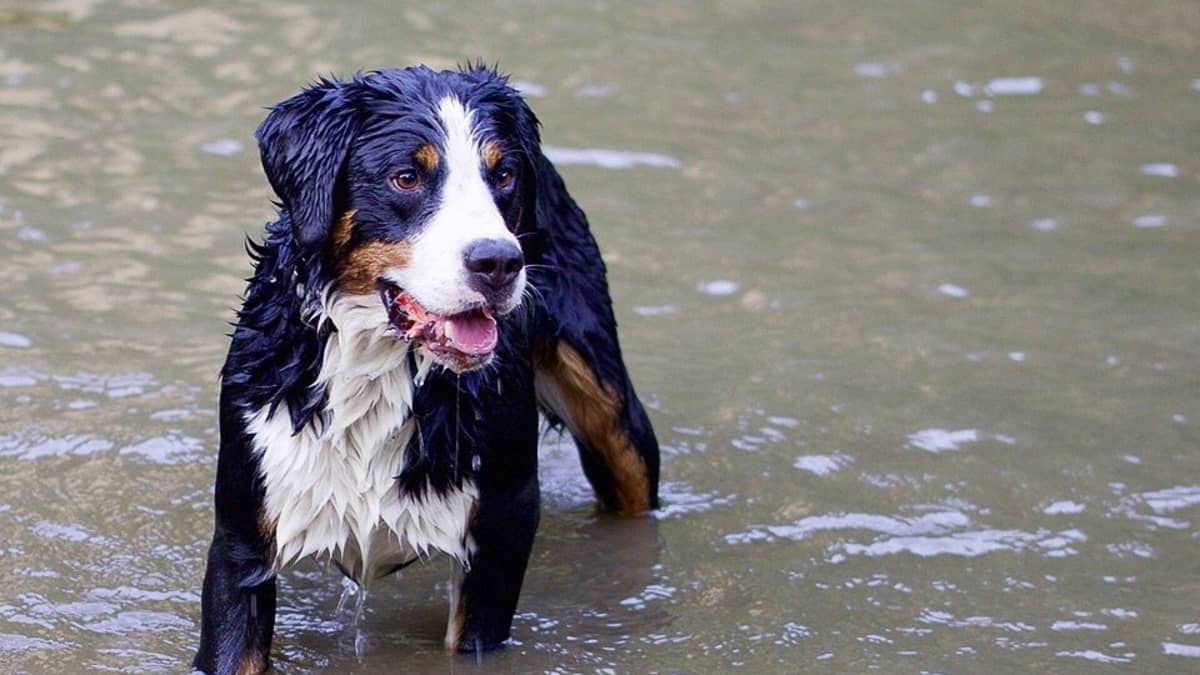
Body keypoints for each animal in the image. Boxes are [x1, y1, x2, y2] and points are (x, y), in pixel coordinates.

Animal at [198, 64, 667, 672]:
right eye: (406, 178)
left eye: (504, 175)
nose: (499, 261)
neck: (379, 369)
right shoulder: (241, 542)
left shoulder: (501, 527)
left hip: (614, 417)